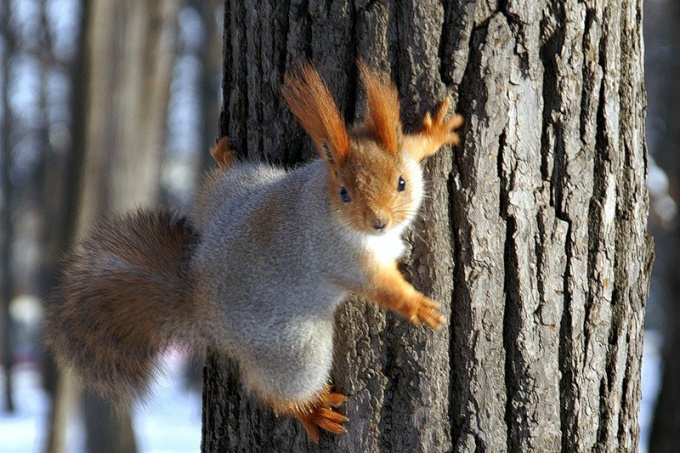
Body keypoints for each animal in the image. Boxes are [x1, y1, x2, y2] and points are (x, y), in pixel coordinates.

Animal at [43, 61, 462, 440]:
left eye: (401, 183)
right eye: (344, 194)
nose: (379, 222)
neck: (325, 200)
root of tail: (197, 297)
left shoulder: (405, 161)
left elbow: (412, 147)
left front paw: (435, 132)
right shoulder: (341, 258)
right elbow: (381, 287)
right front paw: (417, 306)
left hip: (247, 185)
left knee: (220, 183)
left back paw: (224, 159)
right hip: (294, 349)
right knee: (274, 389)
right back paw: (309, 410)